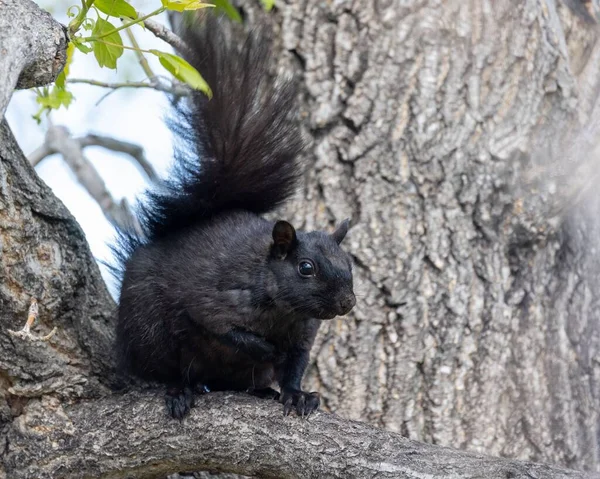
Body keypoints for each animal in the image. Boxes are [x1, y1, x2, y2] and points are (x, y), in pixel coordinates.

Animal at [112, 16, 354, 418]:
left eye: (349, 263)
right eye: (305, 268)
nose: (347, 302)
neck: (284, 310)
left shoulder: (304, 333)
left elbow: (295, 367)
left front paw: (297, 394)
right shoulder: (214, 300)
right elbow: (229, 332)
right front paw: (267, 348)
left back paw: (261, 391)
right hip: (149, 330)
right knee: (168, 370)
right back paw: (181, 390)